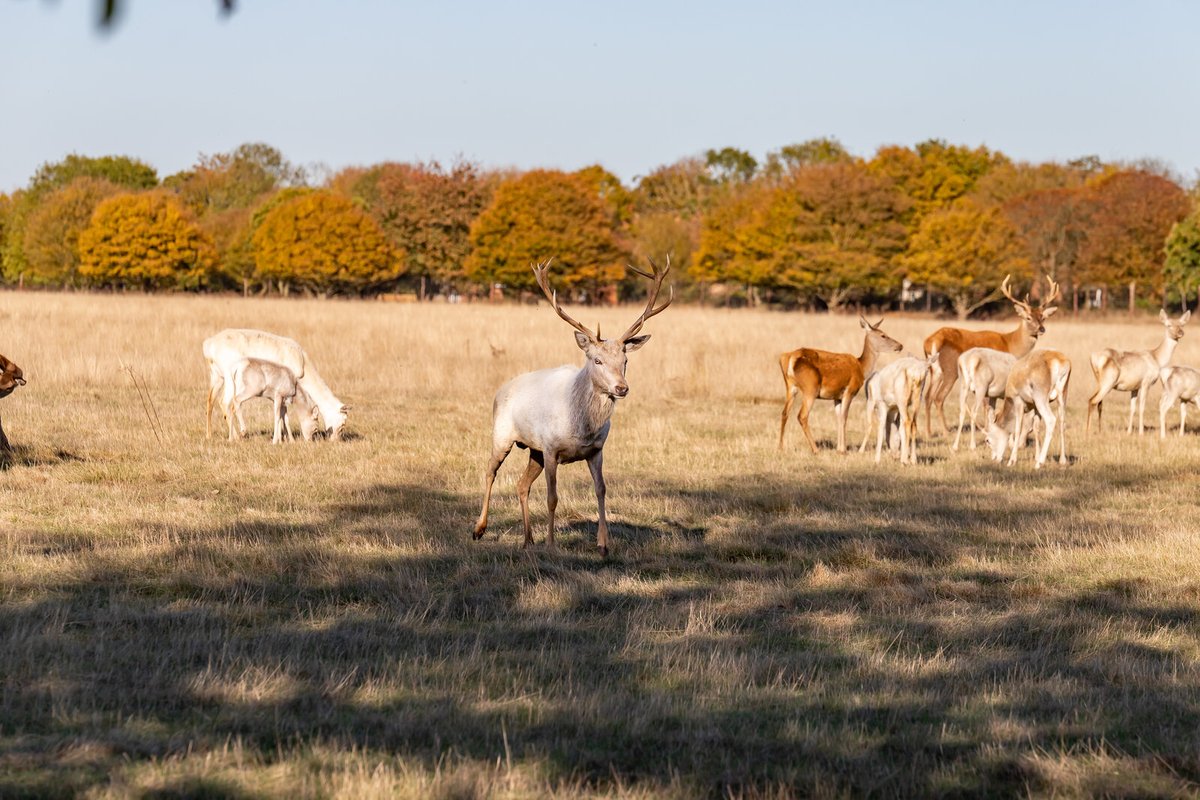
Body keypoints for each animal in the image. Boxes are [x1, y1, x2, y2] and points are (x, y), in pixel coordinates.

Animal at [203, 329, 349, 441]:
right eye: (343, 424)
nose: (335, 441)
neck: (302, 365)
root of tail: (209, 344)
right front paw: (281, 438)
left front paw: (284, 437)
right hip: (229, 379)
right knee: (225, 402)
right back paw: (237, 436)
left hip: (216, 377)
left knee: (211, 401)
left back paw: (209, 435)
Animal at [473, 257, 672, 557]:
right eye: (597, 360)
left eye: (625, 361)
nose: (621, 388)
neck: (581, 425)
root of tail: (502, 388)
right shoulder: (551, 448)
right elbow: (552, 497)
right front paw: (552, 544)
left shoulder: (596, 450)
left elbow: (601, 490)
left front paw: (603, 544)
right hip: (503, 435)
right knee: (489, 471)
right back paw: (479, 529)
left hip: (533, 450)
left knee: (521, 485)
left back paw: (528, 540)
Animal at [778, 316, 903, 454]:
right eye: (883, 335)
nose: (900, 345)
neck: (861, 367)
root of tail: (790, 358)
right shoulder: (850, 390)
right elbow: (844, 417)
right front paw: (843, 450)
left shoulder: (836, 396)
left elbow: (838, 418)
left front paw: (839, 448)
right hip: (811, 388)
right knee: (802, 416)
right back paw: (816, 449)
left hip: (790, 386)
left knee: (784, 413)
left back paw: (780, 447)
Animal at [923, 275, 1060, 437]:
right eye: (1028, 317)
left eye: (1043, 317)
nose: (1041, 329)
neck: (1010, 343)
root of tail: (931, 341)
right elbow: (988, 407)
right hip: (950, 370)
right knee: (939, 398)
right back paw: (946, 432)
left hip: (934, 370)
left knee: (928, 396)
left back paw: (929, 432)